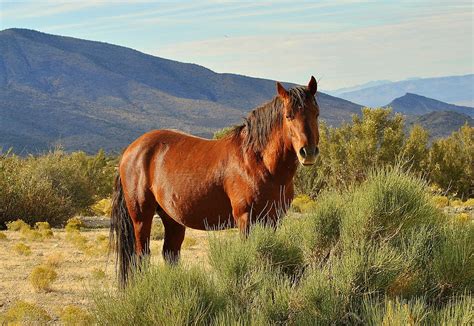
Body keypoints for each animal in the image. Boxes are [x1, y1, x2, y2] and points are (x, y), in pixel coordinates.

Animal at [110, 76, 318, 286]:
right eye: (288, 116)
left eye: (316, 113)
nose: (308, 152)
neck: (258, 161)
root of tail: (130, 150)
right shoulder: (246, 219)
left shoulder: (274, 219)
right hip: (141, 217)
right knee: (141, 256)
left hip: (172, 218)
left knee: (170, 254)